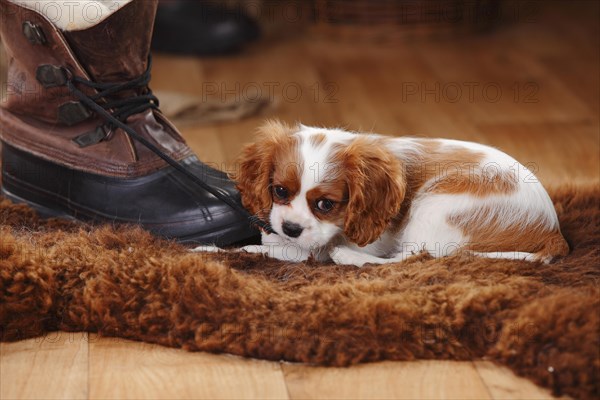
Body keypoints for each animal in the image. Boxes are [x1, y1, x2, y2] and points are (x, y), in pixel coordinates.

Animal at [232, 120, 568, 268]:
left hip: (436, 204)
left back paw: (347, 256)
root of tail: (553, 229)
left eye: (326, 204)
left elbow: (297, 251)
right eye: (279, 191)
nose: (290, 228)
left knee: (416, 257)